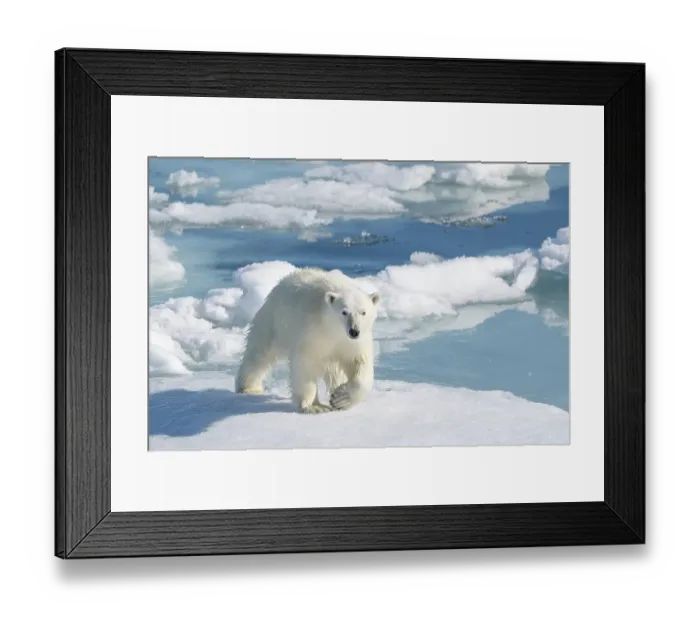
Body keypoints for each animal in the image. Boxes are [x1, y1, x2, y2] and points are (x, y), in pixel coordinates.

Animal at [235, 267, 380, 414]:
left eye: (363, 312)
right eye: (344, 312)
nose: (354, 331)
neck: (333, 329)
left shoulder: (354, 342)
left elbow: (360, 363)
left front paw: (341, 399)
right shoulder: (312, 331)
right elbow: (306, 363)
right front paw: (312, 407)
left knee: (335, 370)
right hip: (274, 322)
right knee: (259, 353)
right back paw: (249, 388)